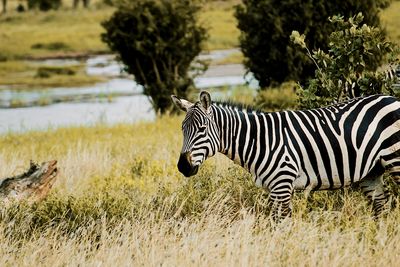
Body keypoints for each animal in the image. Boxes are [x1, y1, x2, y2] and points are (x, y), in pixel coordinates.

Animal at [170, 91, 400, 221]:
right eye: (182, 129)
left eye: (201, 129)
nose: (183, 166)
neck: (259, 140)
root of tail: (391, 98)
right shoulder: (272, 188)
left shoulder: (282, 183)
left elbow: (281, 225)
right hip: (372, 172)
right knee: (382, 209)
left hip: (395, 160)